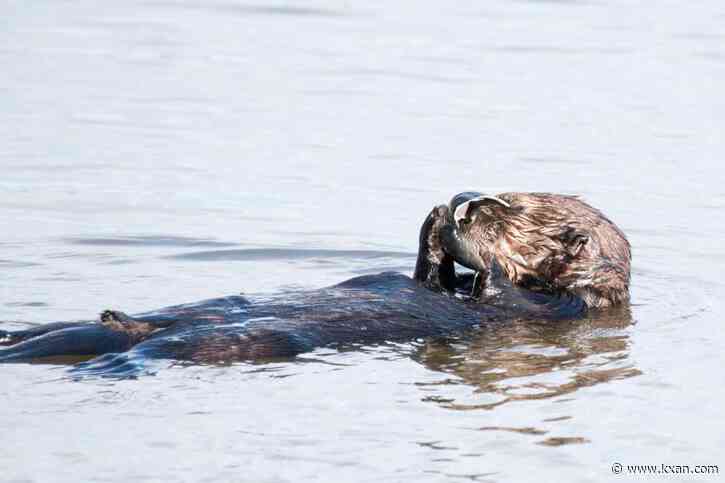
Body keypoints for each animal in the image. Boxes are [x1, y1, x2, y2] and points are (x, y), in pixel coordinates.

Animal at [0, 192, 624, 371]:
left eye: (504, 212)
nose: (469, 206)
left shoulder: (554, 307)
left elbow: (500, 292)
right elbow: (430, 282)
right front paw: (434, 221)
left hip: (220, 342)